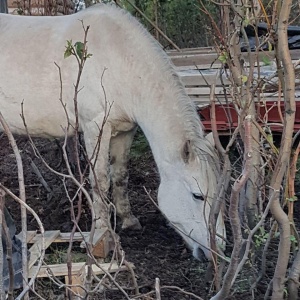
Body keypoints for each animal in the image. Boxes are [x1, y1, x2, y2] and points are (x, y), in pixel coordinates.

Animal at [0, 2, 225, 260]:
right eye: (197, 195)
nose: (219, 251)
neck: (121, 60)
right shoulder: (95, 127)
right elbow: (99, 179)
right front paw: (102, 233)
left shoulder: (124, 132)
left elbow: (120, 175)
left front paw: (128, 220)